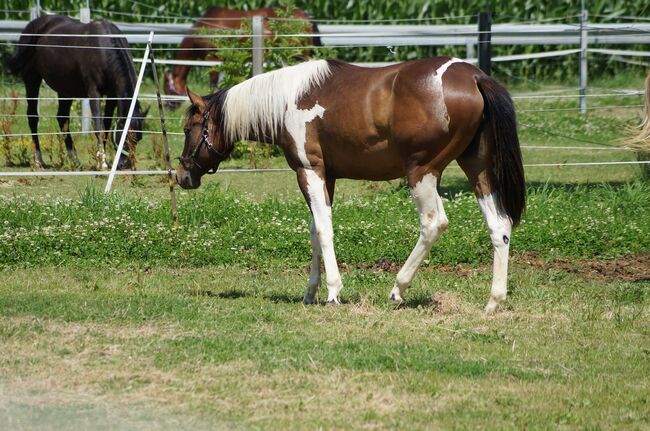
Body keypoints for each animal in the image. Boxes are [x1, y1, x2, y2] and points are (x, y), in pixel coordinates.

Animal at [8, 13, 146, 169]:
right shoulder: (94, 93)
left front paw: (103, 159)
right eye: (124, 135)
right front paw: (102, 163)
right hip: (32, 79)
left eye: (138, 138)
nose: (125, 164)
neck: (103, 48)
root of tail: (33, 25)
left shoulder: (112, 95)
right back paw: (39, 160)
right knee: (33, 116)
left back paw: (74, 159)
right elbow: (99, 126)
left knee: (62, 117)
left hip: (65, 88)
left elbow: (106, 125)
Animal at [175, 57, 524, 314]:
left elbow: (324, 230)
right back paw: (493, 301)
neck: (288, 101)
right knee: (499, 226)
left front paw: (333, 292)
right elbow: (314, 230)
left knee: (433, 223)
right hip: (477, 169)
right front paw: (310, 292)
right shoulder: (325, 177)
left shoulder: (309, 171)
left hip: (422, 172)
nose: (182, 176)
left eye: (189, 128)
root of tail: (474, 76)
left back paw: (398, 289)